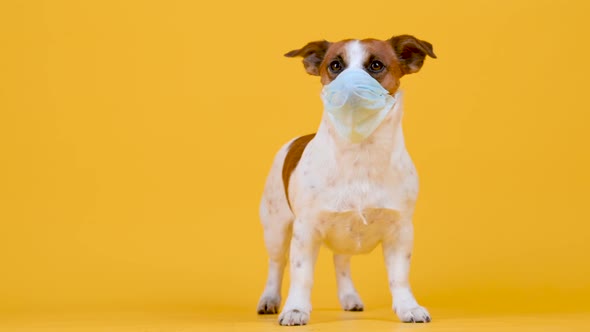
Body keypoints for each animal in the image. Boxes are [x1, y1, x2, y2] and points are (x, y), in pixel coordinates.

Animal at [256, 35, 438, 326]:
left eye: (376, 65)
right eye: (335, 65)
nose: (349, 83)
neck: (359, 150)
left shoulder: (400, 231)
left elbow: (399, 276)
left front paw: (408, 307)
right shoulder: (305, 231)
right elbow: (301, 274)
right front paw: (295, 309)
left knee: (341, 263)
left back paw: (349, 297)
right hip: (275, 228)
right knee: (276, 265)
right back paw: (270, 299)